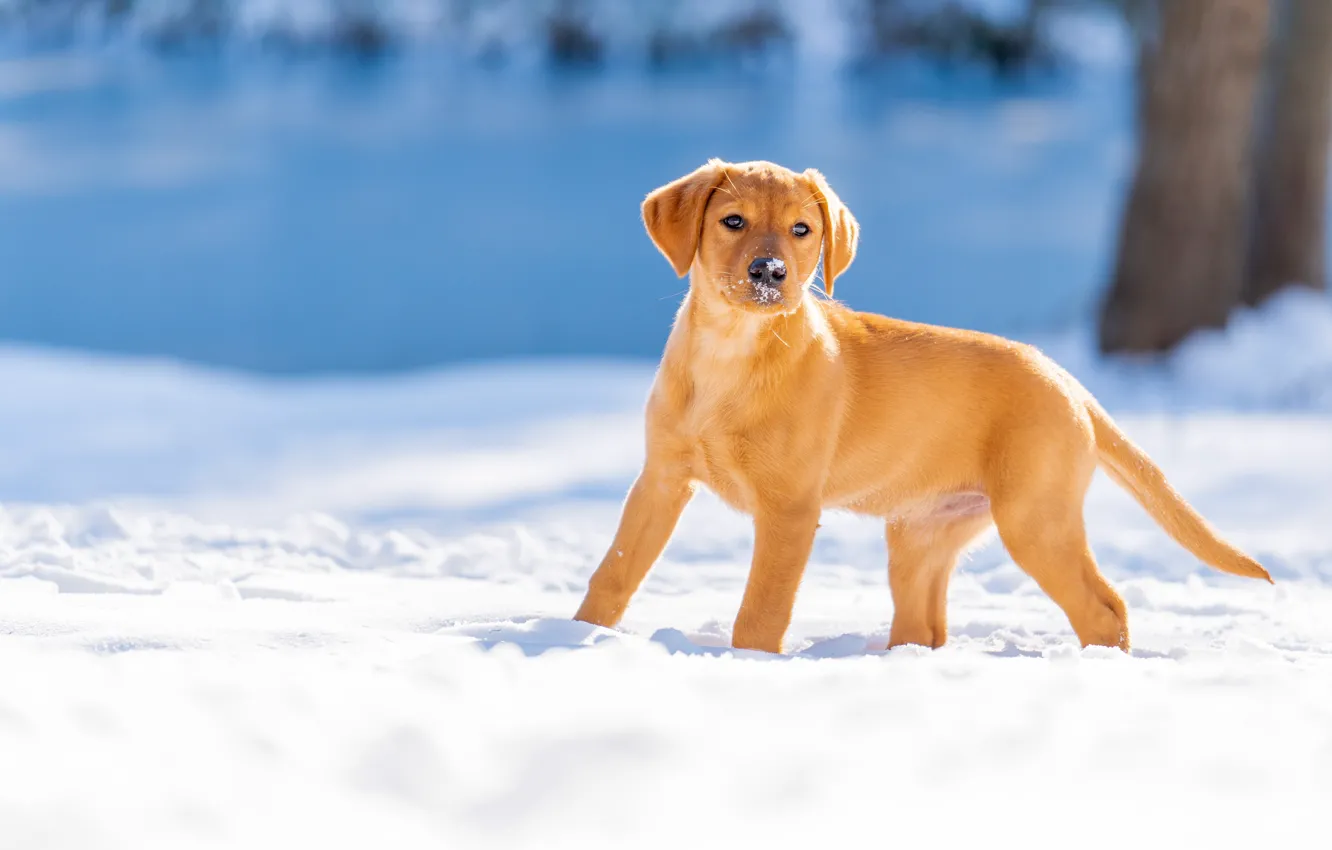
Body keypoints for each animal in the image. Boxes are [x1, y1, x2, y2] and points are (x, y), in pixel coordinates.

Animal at [572, 159, 1268, 655]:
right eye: (733, 221)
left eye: (803, 230)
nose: (770, 272)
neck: (732, 353)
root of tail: (1068, 382)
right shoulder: (661, 478)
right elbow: (614, 573)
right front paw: (579, 636)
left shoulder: (789, 511)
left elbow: (761, 613)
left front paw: (748, 665)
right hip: (921, 535)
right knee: (927, 627)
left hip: (1035, 519)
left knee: (1105, 609)